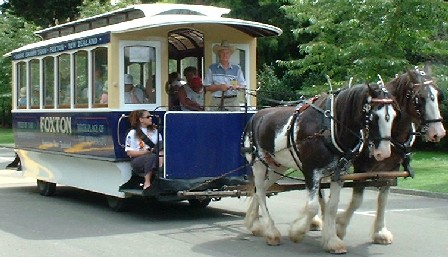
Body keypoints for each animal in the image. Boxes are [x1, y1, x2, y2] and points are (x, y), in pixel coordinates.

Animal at [243, 81, 398, 252]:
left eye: (394, 115)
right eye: (374, 116)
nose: (384, 153)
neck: (330, 127)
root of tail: (255, 116)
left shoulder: (339, 172)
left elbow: (332, 206)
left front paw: (332, 241)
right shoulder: (311, 171)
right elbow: (312, 207)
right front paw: (297, 232)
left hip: (278, 166)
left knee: (261, 190)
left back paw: (254, 223)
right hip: (258, 164)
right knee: (260, 192)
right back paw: (271, 232)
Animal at [328, 65, 444, 242]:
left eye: (438, 96)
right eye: (420, 98)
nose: (438, 132)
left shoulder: (392, 167)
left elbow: (383, 198)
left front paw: (380, 231)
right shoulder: (361, 166)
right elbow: (357, 200)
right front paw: (340, 225)